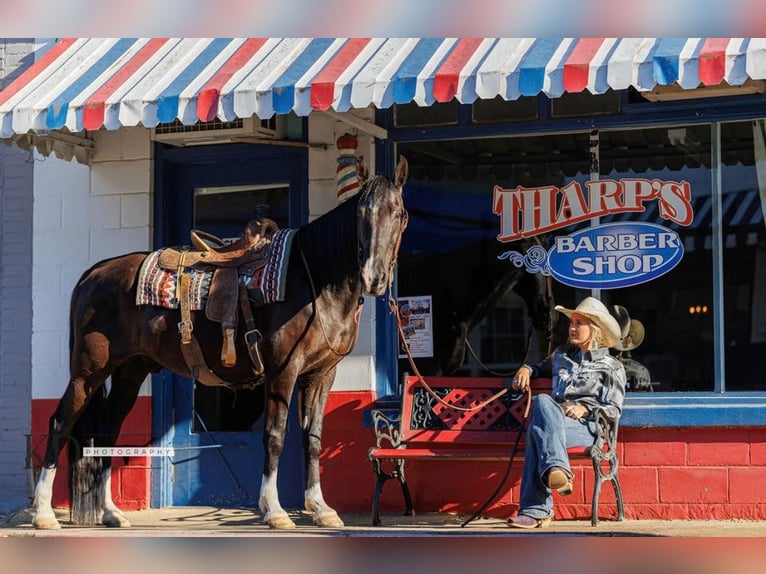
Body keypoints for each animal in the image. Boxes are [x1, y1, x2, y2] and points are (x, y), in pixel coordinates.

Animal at [31, 156, 409, 530]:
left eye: (399, 212)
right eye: (360, 213)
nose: (374, 278)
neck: (314, 279)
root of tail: (94, 273)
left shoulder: (321, 374)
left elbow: (313, 438)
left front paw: (321, 508)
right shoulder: (283, 372)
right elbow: (275, 436)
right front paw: (274, 510)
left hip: (129, 372)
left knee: (109, 431)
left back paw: (111, 512)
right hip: (88, 372)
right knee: (60, 424)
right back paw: (44, 513)